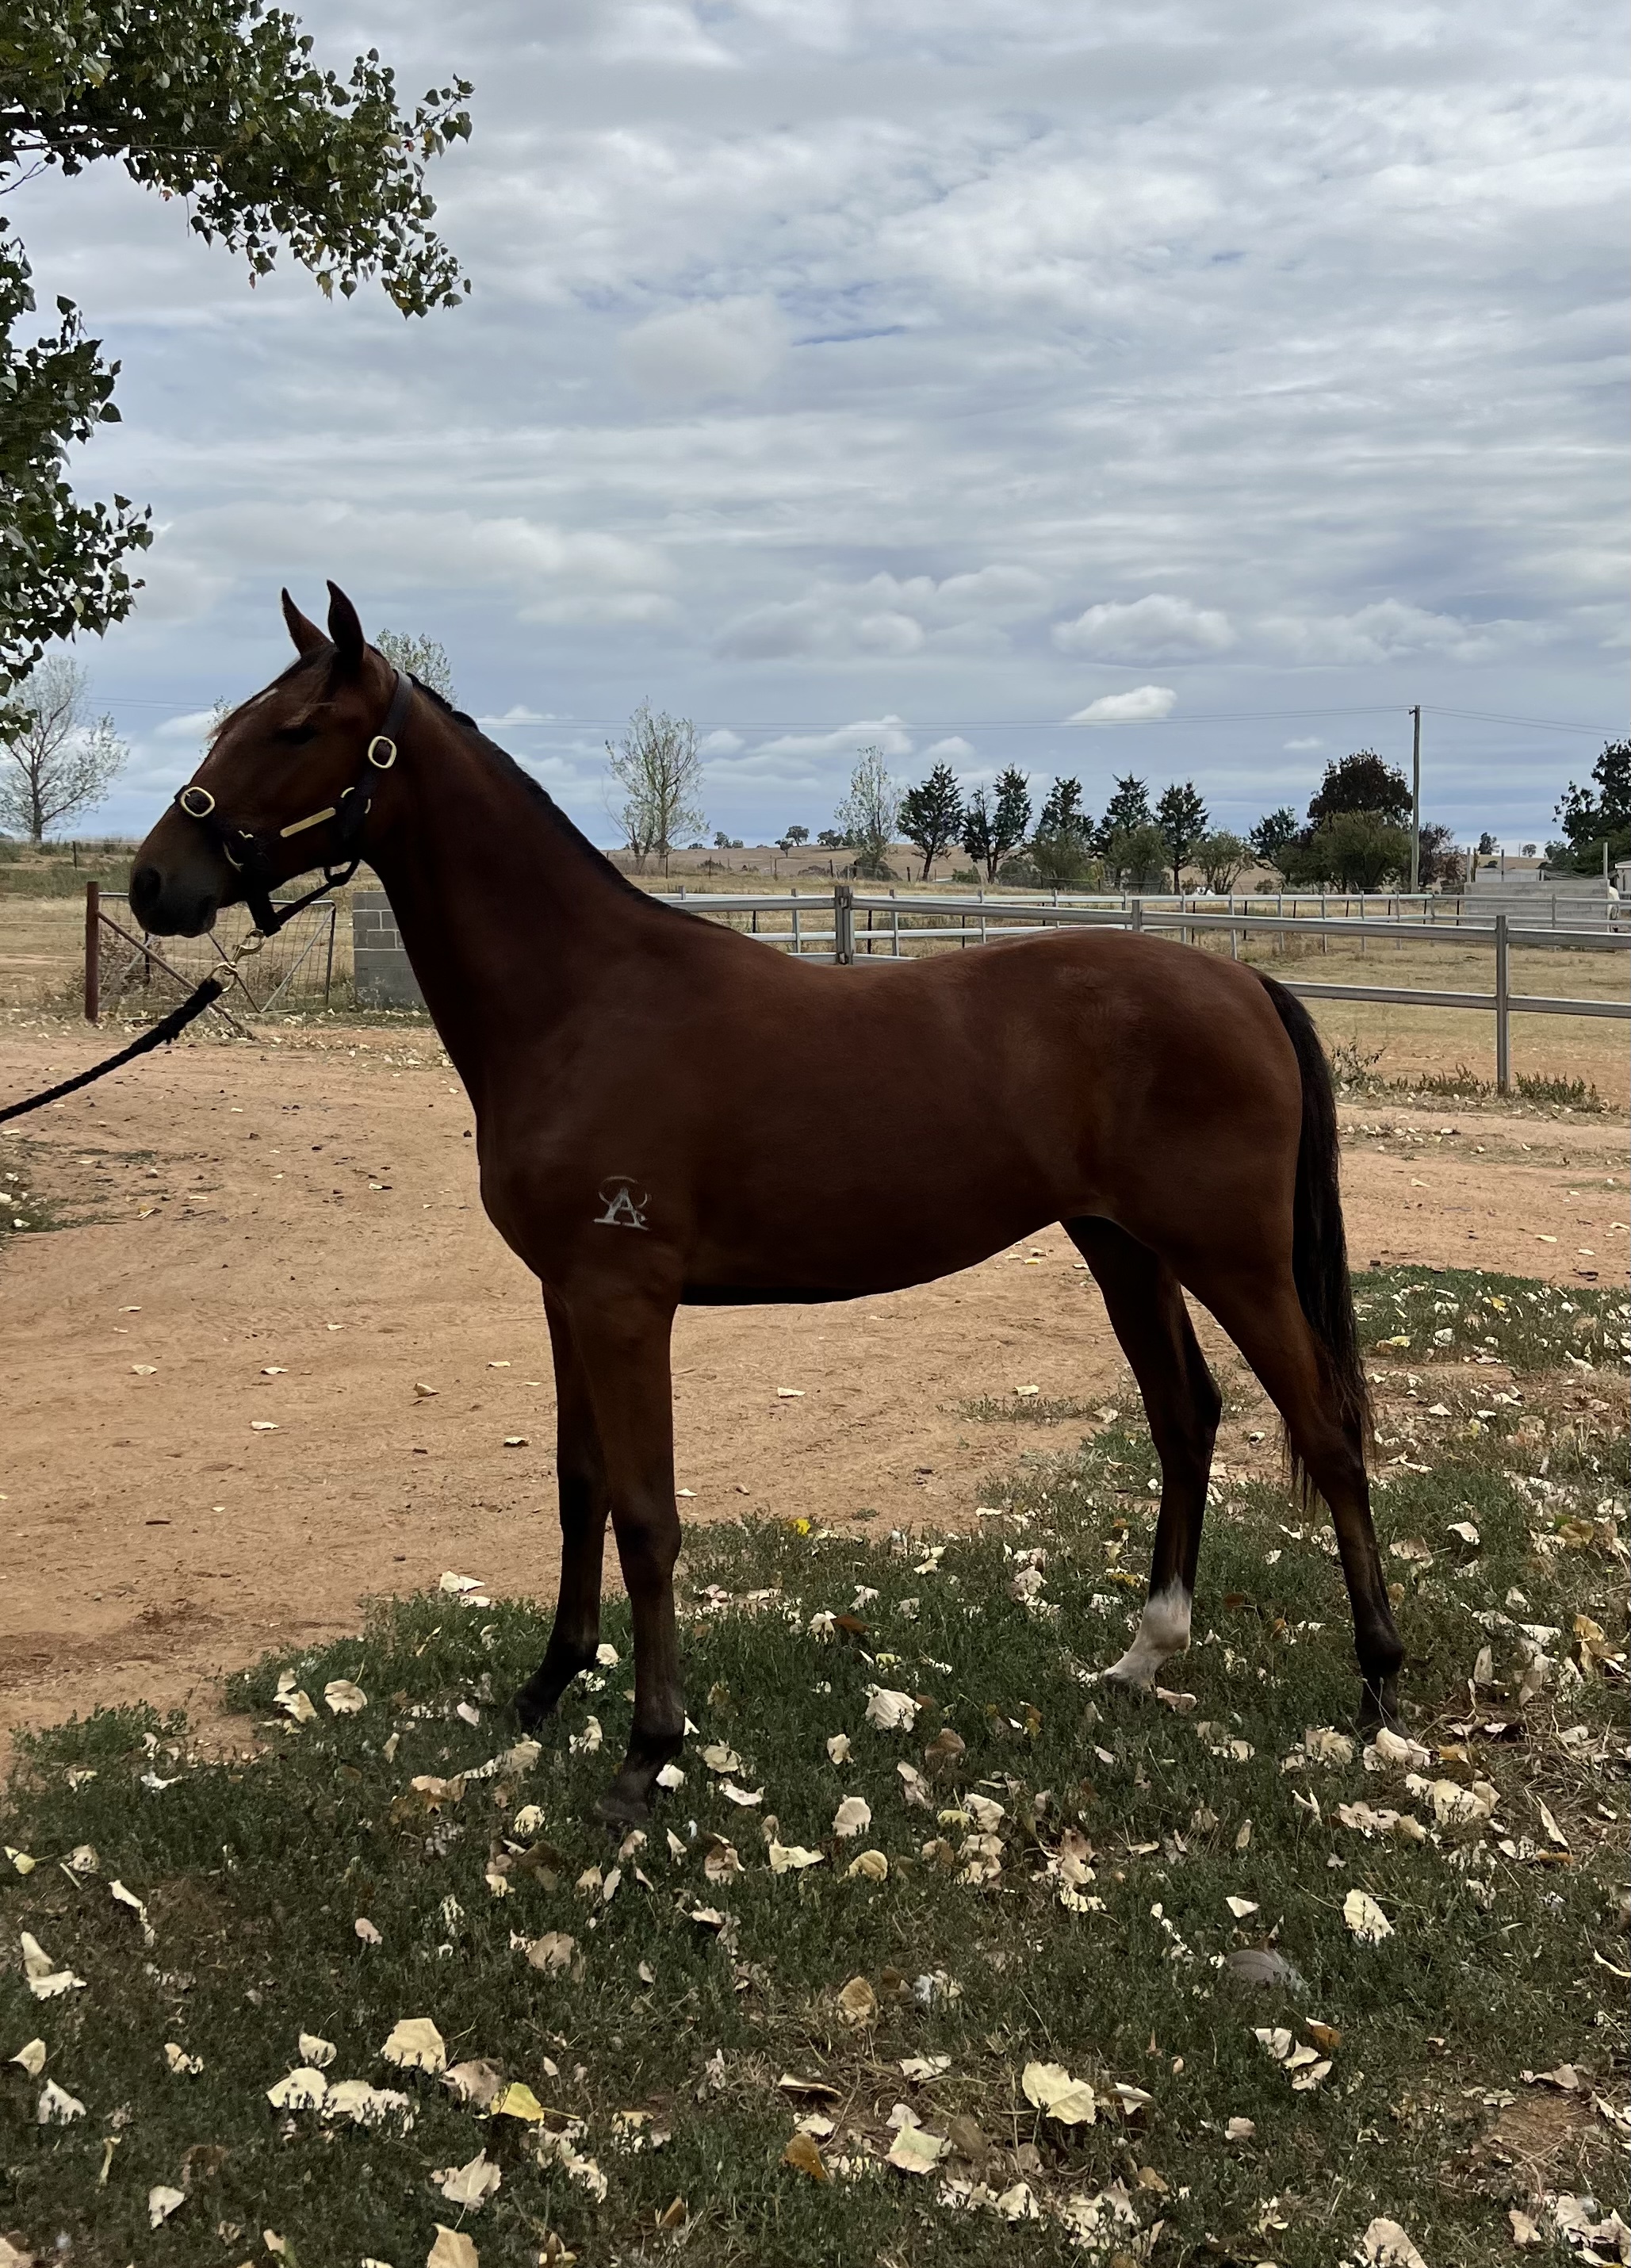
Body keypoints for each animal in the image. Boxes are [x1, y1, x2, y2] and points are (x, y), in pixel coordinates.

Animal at [130, 583, 1404, 1823]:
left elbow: (646, 1515)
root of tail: (1242, 979)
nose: (154, 883)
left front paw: (646, 1753)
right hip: (1123, 1248)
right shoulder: (565, 1300)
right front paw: (548, 1685)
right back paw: (1144, 1655)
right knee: (1184, 1417)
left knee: (1326, 1429)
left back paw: (1377, 1685)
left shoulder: (624, 1303)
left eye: (295, 730)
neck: (583, 1001)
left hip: (1231, 1259)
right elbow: (577, 1488)